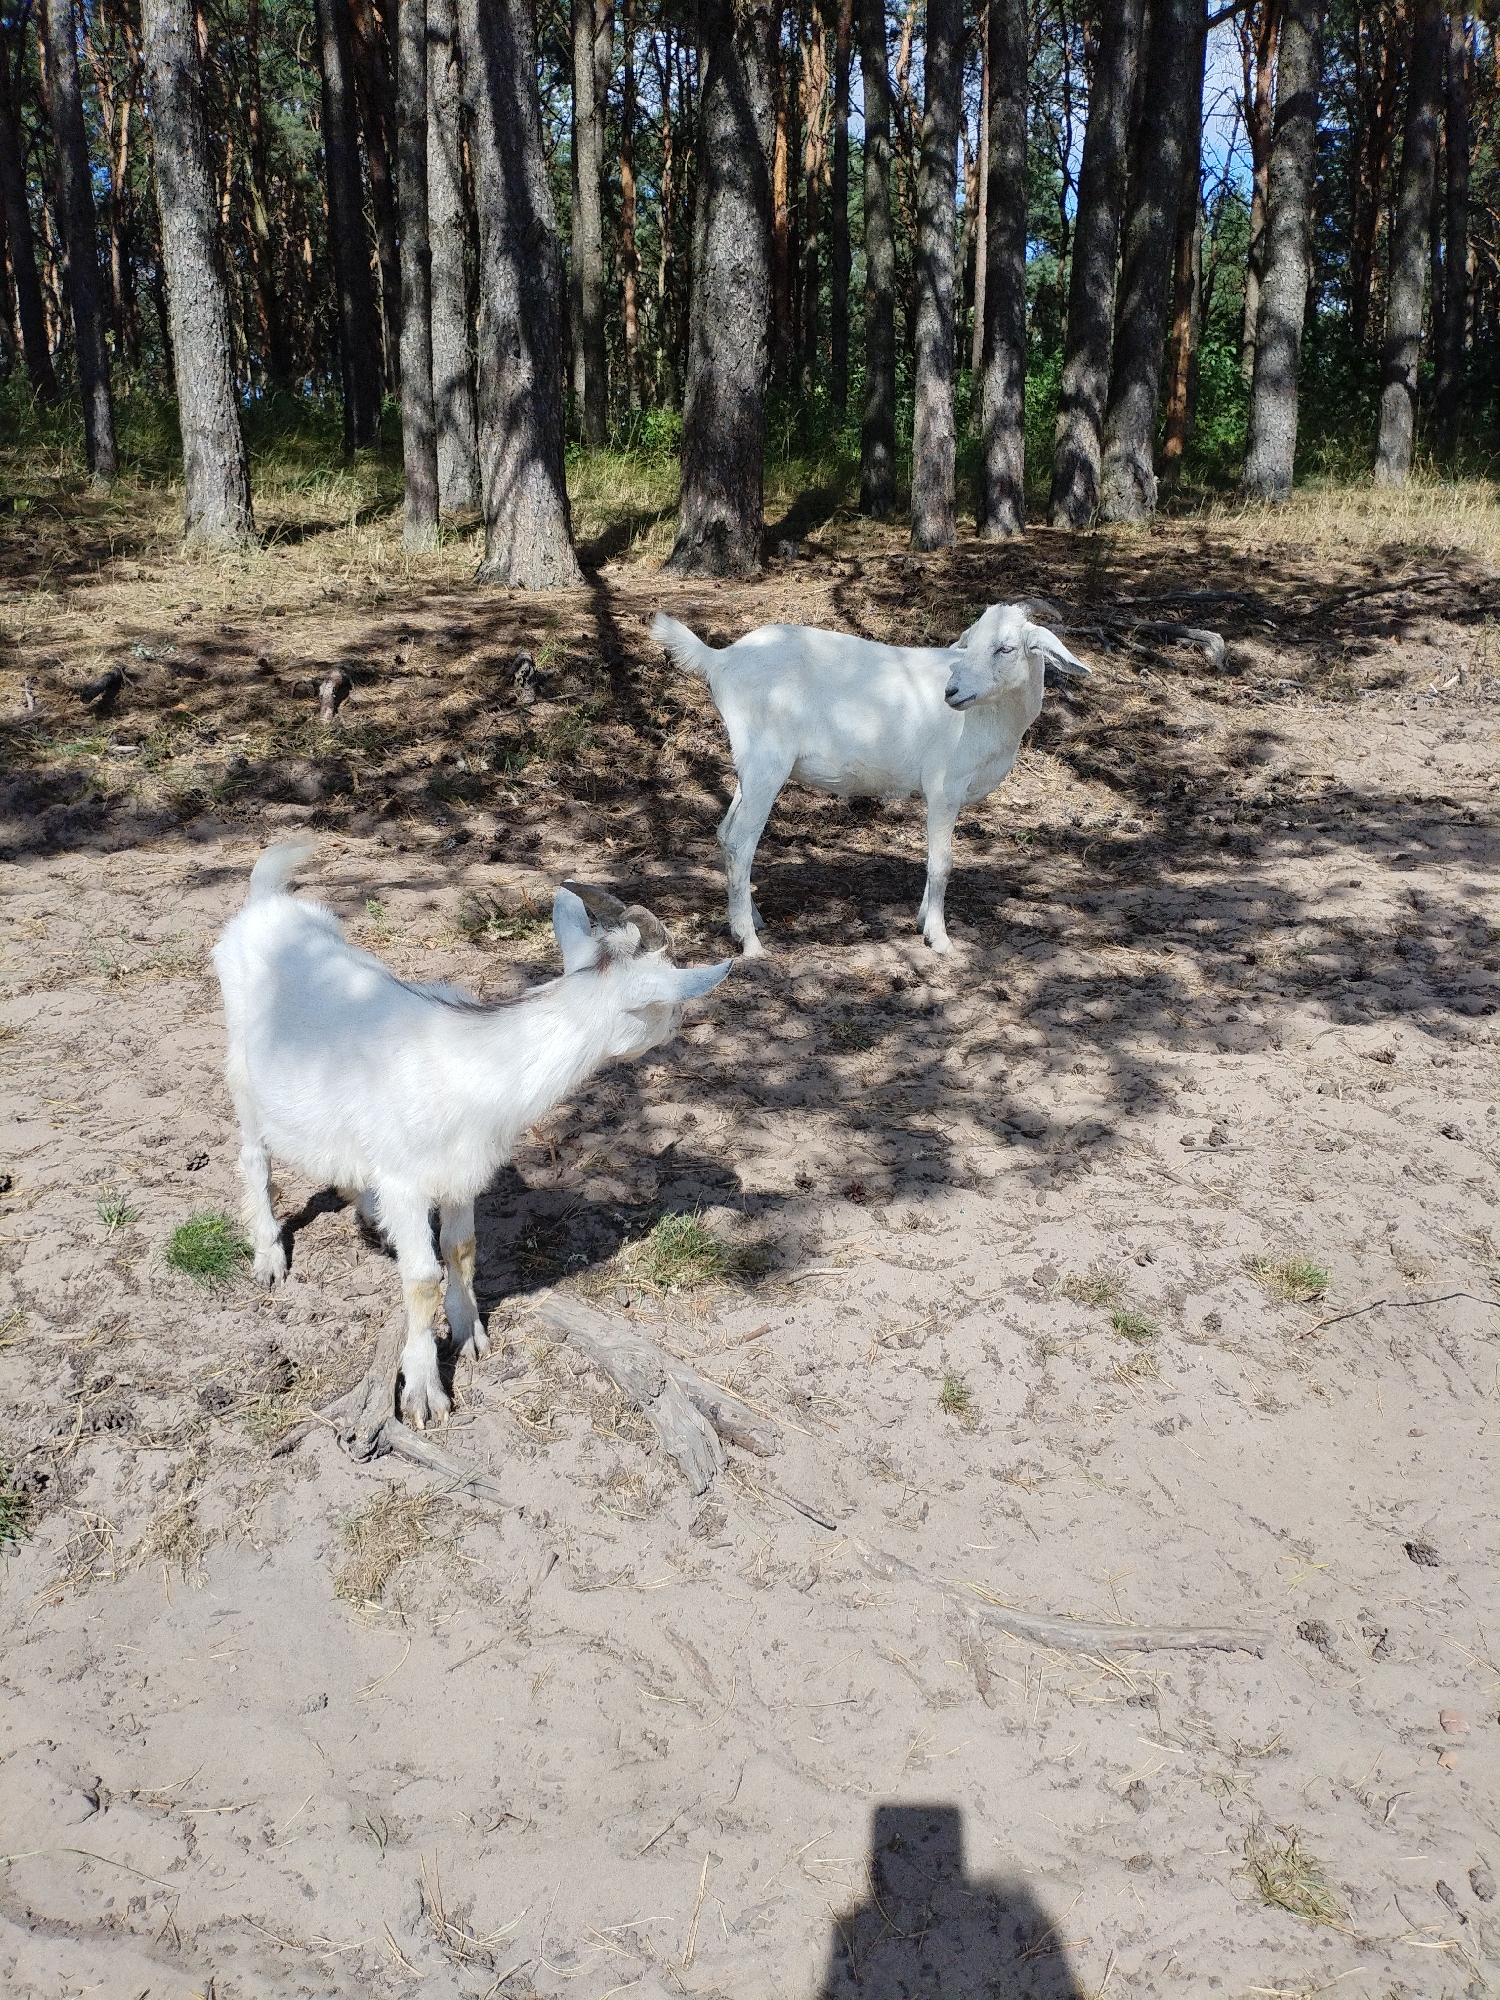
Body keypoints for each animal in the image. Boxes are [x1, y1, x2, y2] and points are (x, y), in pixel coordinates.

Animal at [213, 845, 730, 1427]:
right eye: (667, 1000)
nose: (680, 1025)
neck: (471, 1062)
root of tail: (265, 904)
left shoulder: (461, 1172)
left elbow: (459, 1248)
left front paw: (471, 1335)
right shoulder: (406, 1181)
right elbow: (420, 1278)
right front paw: (424, 1390)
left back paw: (369, 1217)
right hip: (243, 1071)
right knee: (253, 1157)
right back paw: (269, 1256)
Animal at [651, 604, 1090, 955]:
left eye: (1006, 648)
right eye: (970, 645)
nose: (952, 691)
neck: (992, 718)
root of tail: (720, 658)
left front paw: (922, 919)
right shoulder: (944, 788)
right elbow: (942, 863)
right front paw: (939, 939)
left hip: (750, 766)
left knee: (727, 834)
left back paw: (749, 920)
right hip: (766, 761)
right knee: (742, 842)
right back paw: (750, 943)